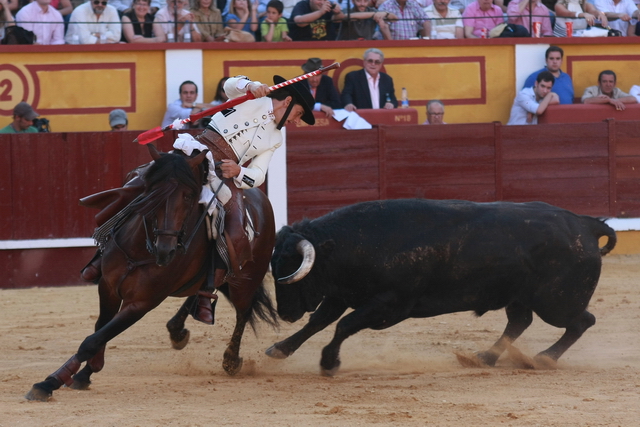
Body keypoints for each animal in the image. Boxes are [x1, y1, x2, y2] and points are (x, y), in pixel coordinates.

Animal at [25, 145, 278, 402]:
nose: (166, 250)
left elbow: (94, 339)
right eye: (153, 191)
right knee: (200, 292)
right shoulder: (108, 287)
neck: (139, 250)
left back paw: (231, 360)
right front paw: (84, 373)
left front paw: (50, 382)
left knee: (243, 312)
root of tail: (260, 198)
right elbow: (100, 329)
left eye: (189, 196)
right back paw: (180, 328)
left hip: (246, 280)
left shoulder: (142, 302)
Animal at [264, 199, 616, 376]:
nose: (286, 313)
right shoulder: (343, 293)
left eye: (291, 268)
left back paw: (543, 359)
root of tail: (585, 223)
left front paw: (328, 362)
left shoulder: (391, 304)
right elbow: (319, 322)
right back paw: (483, 358)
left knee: (581, 321)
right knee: (520, 321)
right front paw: (279, 349)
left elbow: (344, 325)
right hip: (520, 296)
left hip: (556, 302)